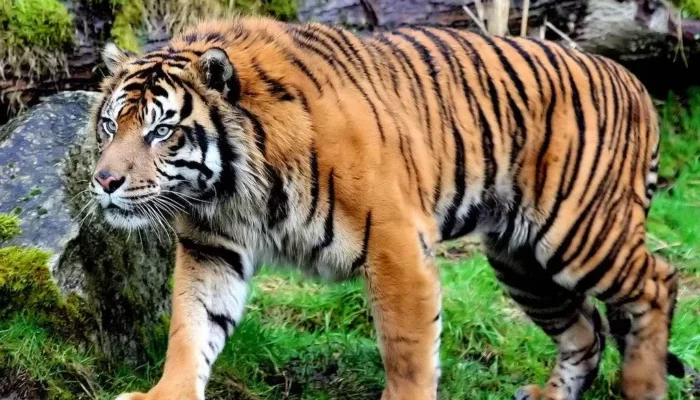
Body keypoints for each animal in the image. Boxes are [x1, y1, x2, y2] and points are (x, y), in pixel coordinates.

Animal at [88, 16, 685, 400]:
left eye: (161, 131)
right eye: (110, 125)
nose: (104, 180)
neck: (234, 188)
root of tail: (632, 79)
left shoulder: (395, 242)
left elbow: (407, 346)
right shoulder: (211, 248)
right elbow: (191, 327)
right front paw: (164, 394)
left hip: (577, 232)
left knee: (658, 281)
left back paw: (643, 387)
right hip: (522, 262)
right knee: (586, 329)